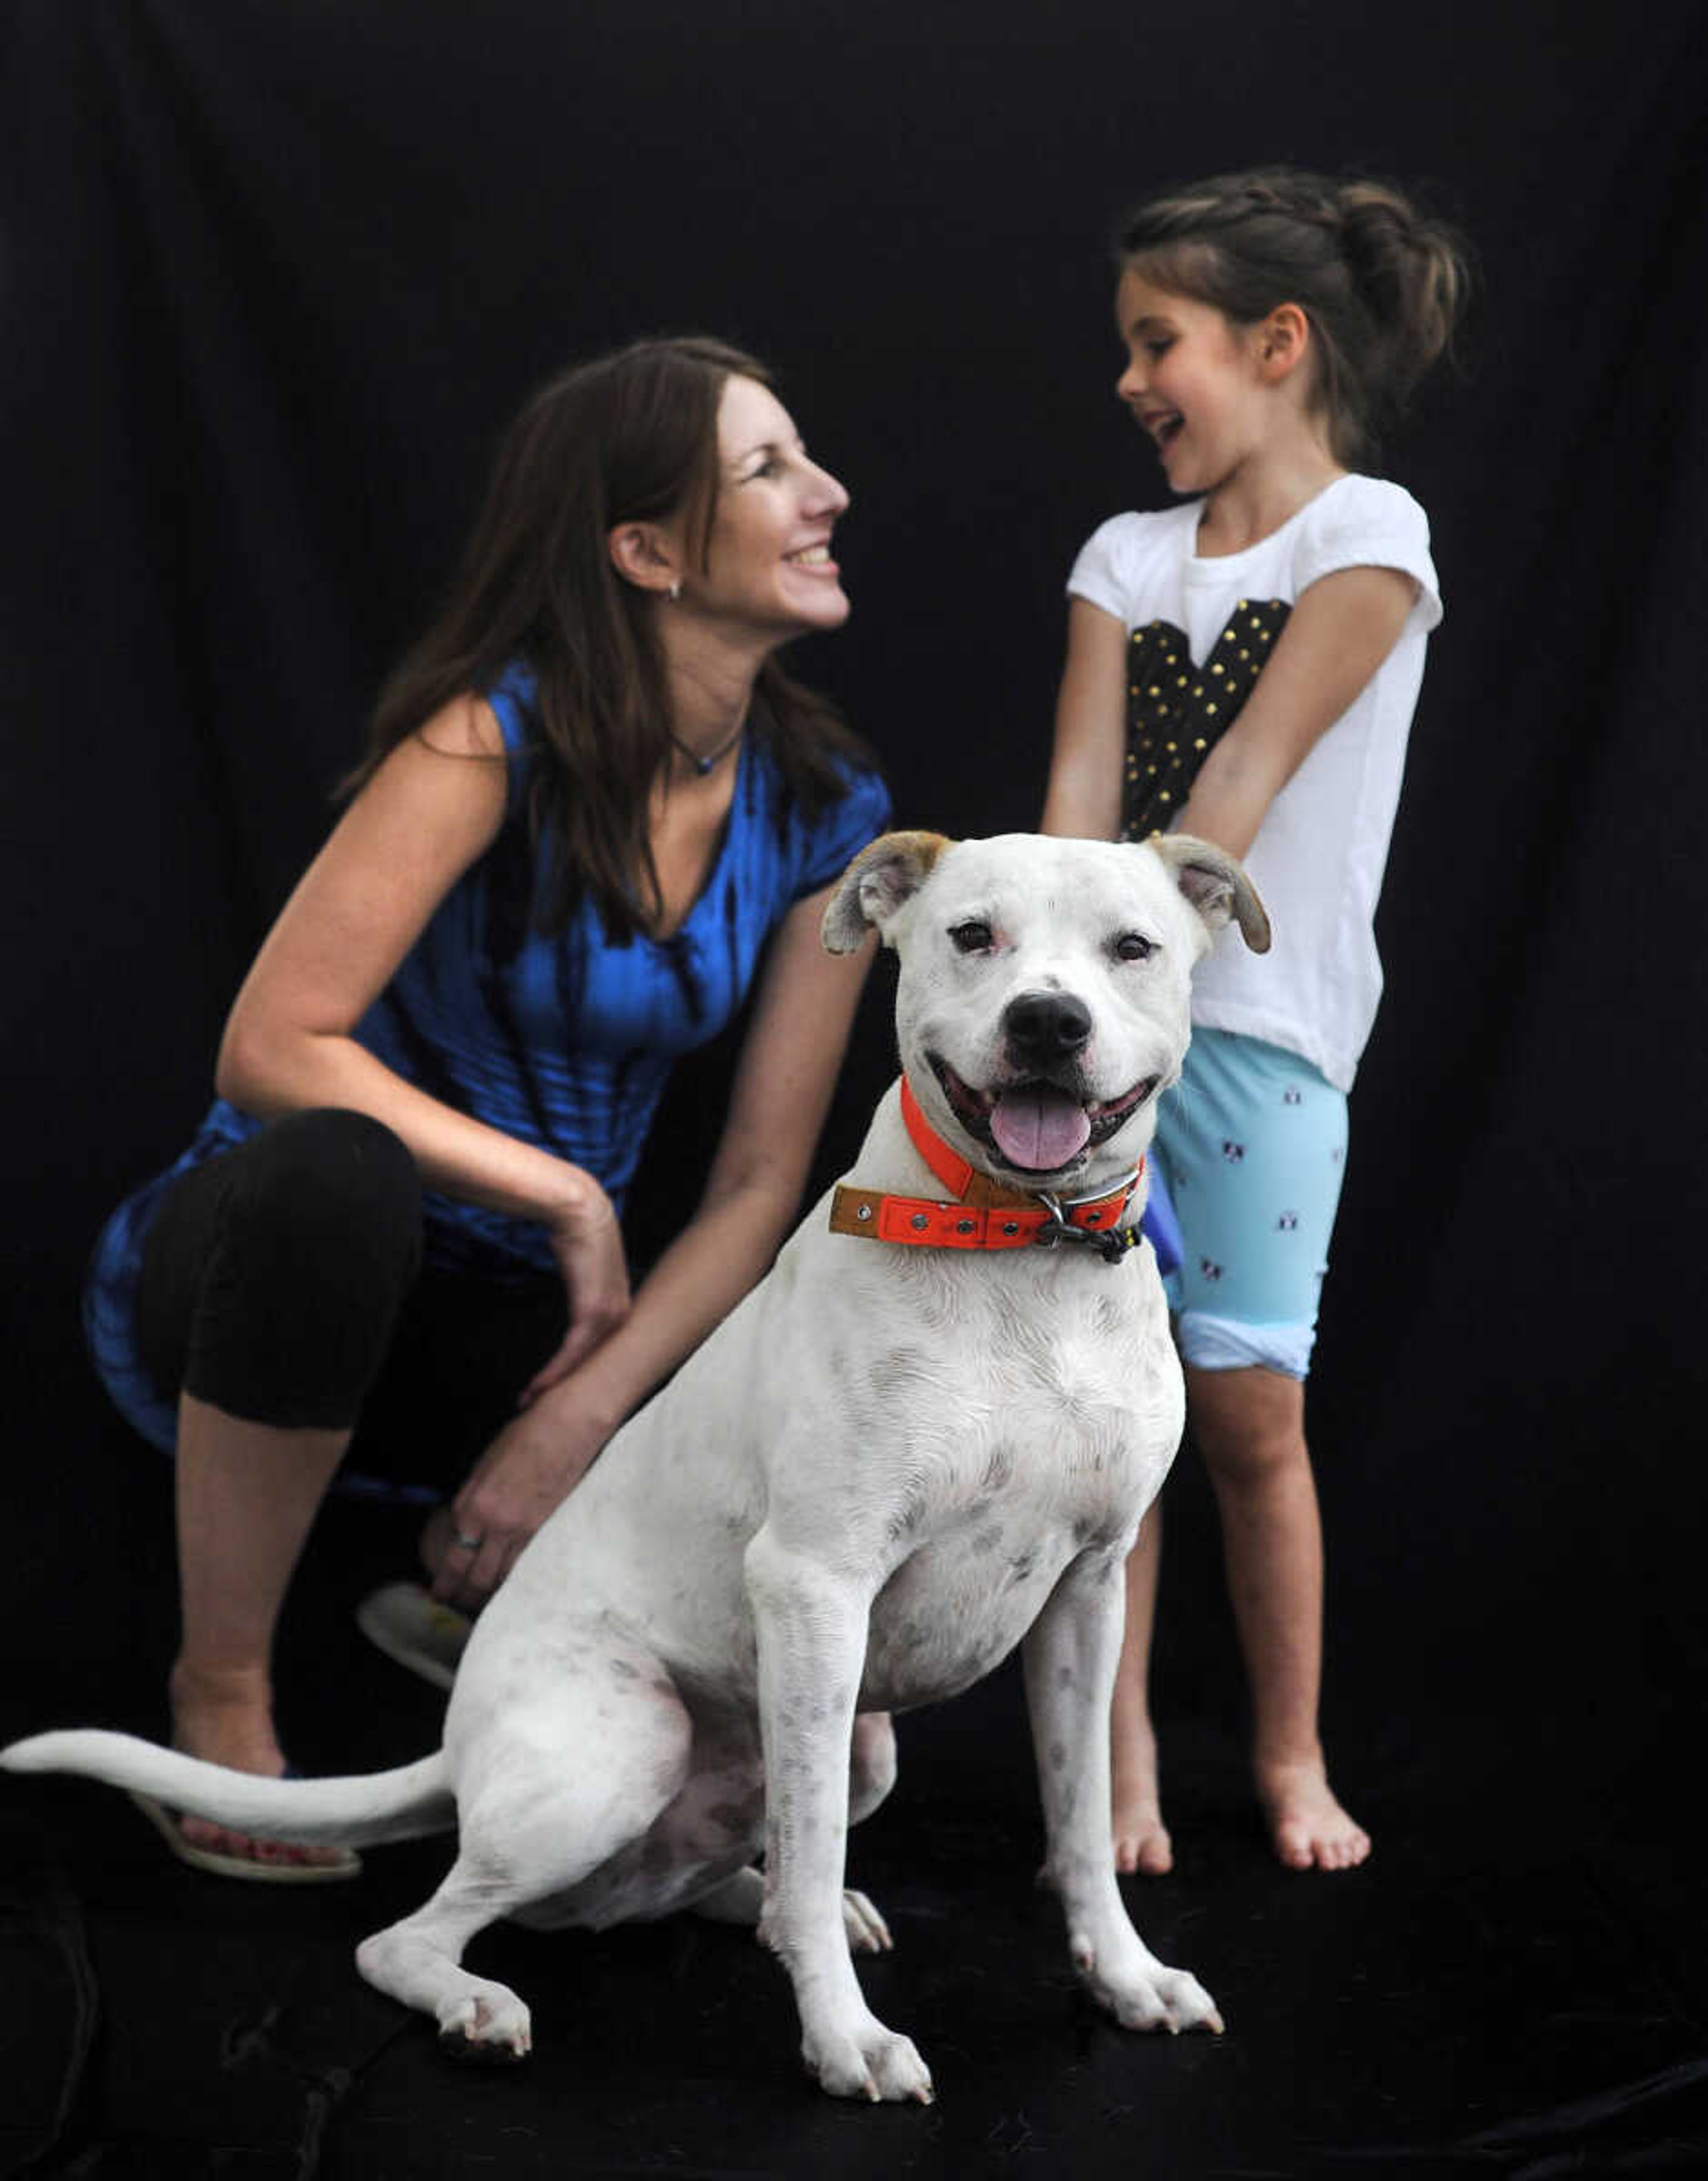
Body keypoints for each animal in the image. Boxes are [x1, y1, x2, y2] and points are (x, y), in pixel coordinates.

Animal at [3, 824, 1265, 2102]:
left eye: (1132, 947)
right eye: (973, 936)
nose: (1048, 1021)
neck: (1022, 1248)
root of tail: (459, 1746)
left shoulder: (1089, 1589)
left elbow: (1081, 1814)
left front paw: (1125, 1976)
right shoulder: (817, 1584)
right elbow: (818, 1847)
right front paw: (844, 2037)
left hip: (856, 1744)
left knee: (704, 1879)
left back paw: (772, 1908)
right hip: (628, 1746)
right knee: (416, 1932)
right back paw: (477, 2000)